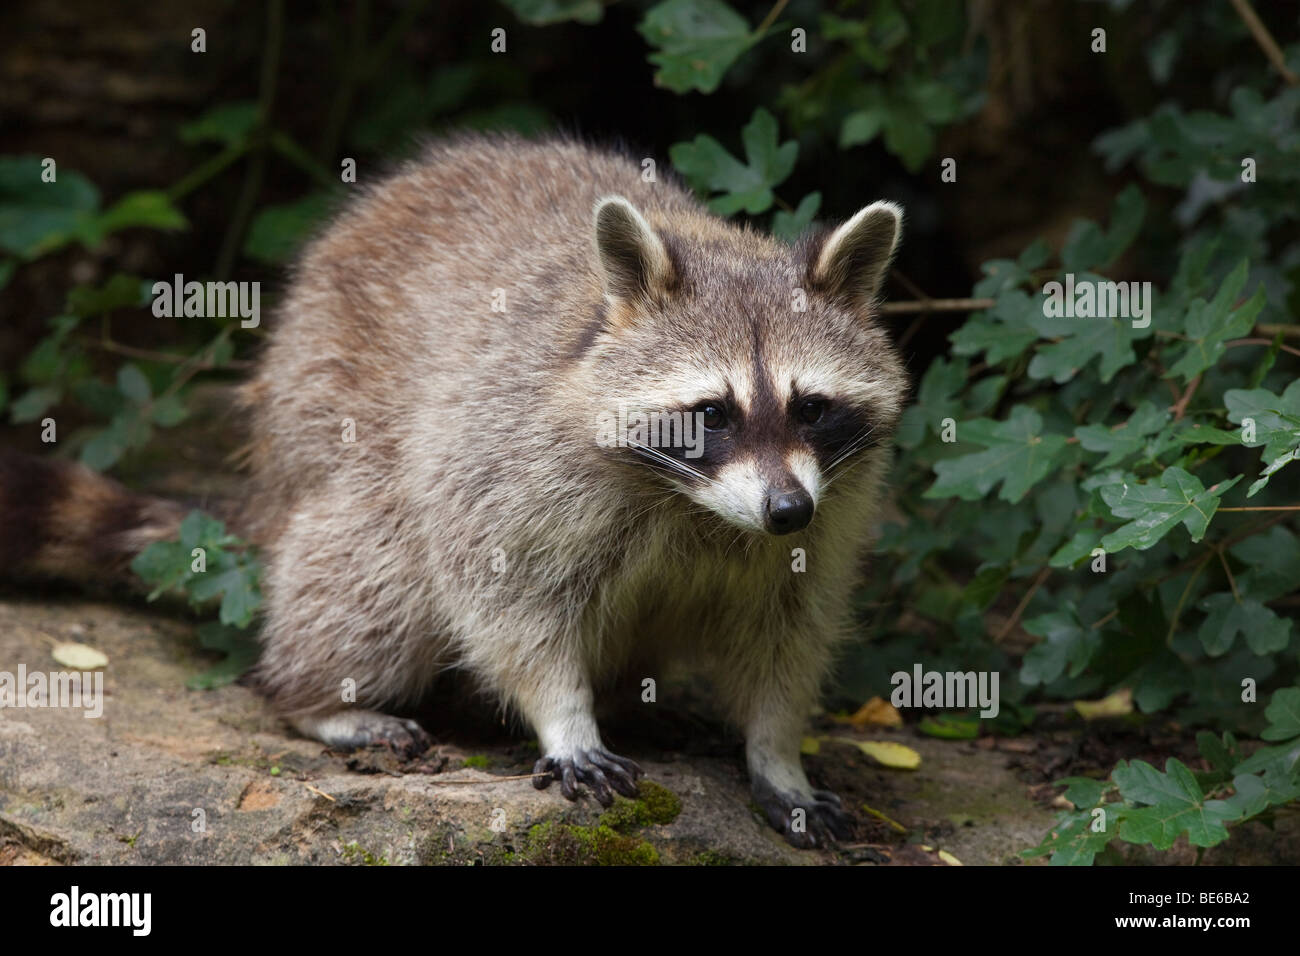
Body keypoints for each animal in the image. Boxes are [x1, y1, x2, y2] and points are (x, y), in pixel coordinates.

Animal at [0, 132, 909, 842]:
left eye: (812, 407)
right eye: (712, 413)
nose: (786, 511)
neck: (697, 506)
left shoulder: (832, 509)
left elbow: (789, 632)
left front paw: (776, 753)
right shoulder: (506, 459)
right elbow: (504, 600)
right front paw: (564, 715)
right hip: (328, 406)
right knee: (377, 566)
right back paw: (316, 695)